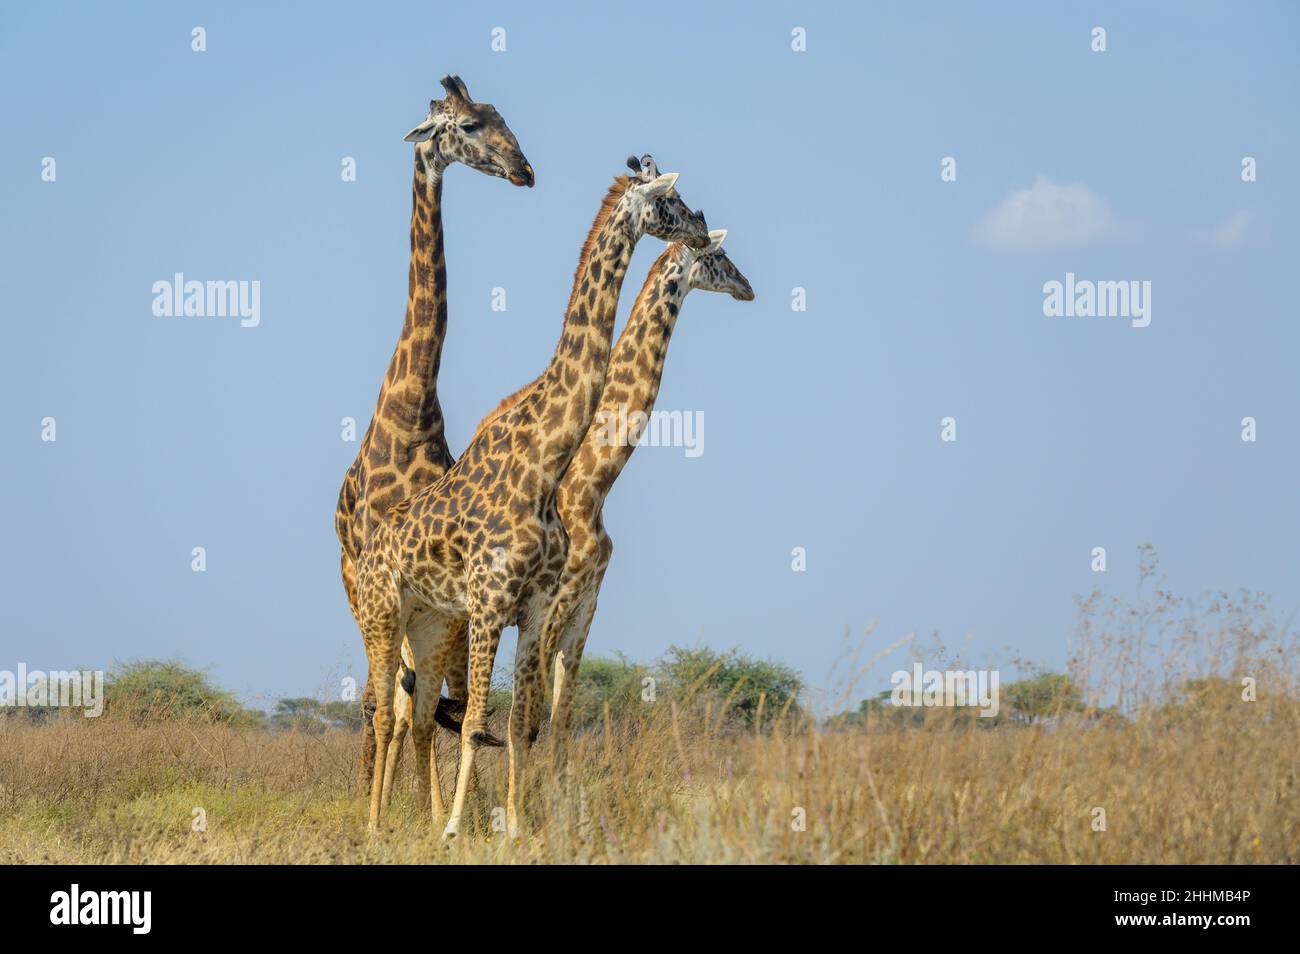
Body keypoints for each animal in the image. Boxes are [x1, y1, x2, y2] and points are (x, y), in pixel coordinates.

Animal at [338, 76, 535, 805]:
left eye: (500, 116)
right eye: (469, 126)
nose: (524, 170)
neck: (411, 408)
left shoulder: (449, 597)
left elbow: (435, 707)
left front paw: (439, 810)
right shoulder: (389, 580)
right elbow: (396, 706)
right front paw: (387, 810)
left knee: (417, 701)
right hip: (357, 585)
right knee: (379, 701)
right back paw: (372, 795)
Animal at [351, 158, 707, 837]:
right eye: (672, 202)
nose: (704, 235)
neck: (547, 470)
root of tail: (375, 540)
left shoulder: (541, 608)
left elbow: (520, 723)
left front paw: (515, 825)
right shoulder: (494, 602)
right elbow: (477, 723)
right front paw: (457, 829)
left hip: (429, 623)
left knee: (413, 713)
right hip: (382, 614)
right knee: (382, 711)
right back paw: (376, 825)